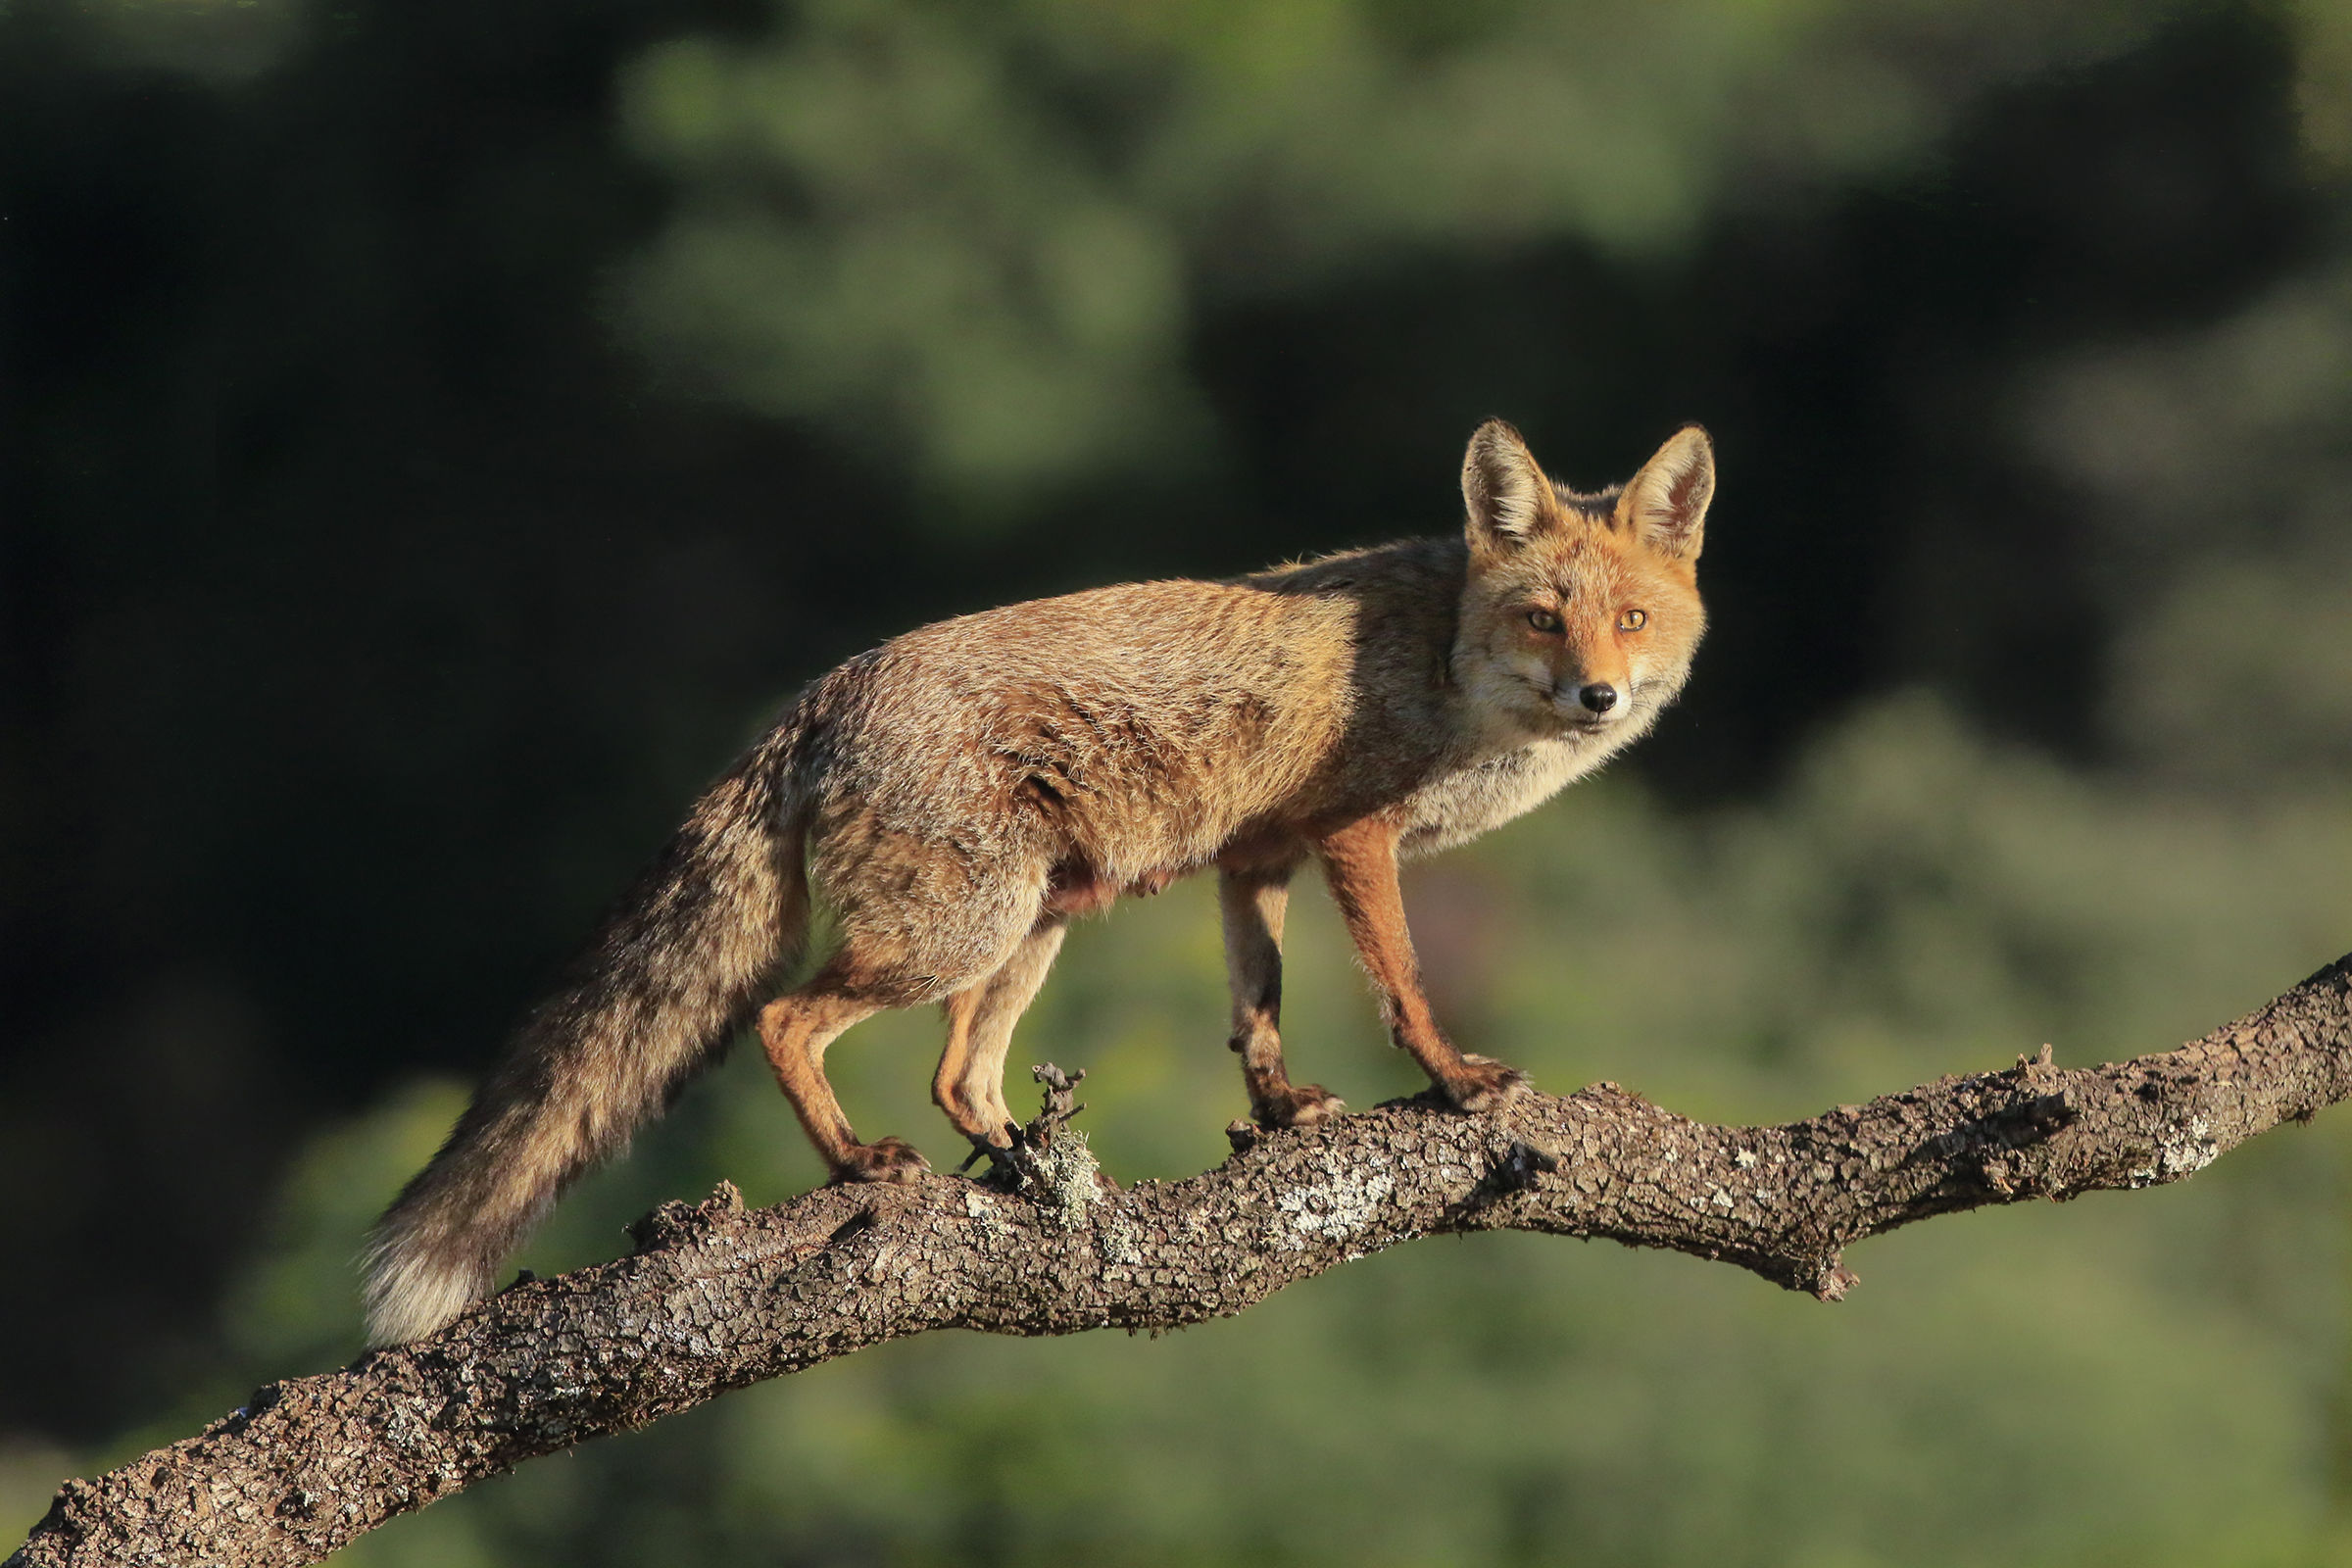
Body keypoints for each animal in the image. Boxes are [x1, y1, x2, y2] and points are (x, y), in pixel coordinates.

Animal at [362, 419, 1714, 1345]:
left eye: (1631, 620)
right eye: (1544, 617)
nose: (1599, 696)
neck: (1443, 660)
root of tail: (823, 689)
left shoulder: (1259, 857)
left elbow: (1258, 1005)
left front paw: (1281, 1111)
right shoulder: (1353, 838)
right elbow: (1404, 983)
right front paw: (1455, 1082)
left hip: (1031, 928)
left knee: (961, 1075)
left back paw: (1027, 1172)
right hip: (959, 932)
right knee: (786, 1017)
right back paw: (860, 1166)